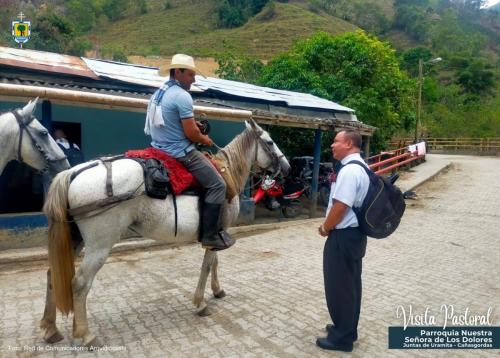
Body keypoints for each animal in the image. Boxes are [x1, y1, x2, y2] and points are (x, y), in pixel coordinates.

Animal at [42, 118, 292, 346]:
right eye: (270, 142)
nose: (288, 168)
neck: (227, 171)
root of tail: (72, 174)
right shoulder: (215, 234)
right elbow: (207, 265)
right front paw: (200, 303)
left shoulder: (217, 234)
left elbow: (215, 263)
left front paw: (217, 290)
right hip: (99, 246)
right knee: (80, 283)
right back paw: (85, 335)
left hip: (74, 240)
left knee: (54, 274)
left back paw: (50, 329)